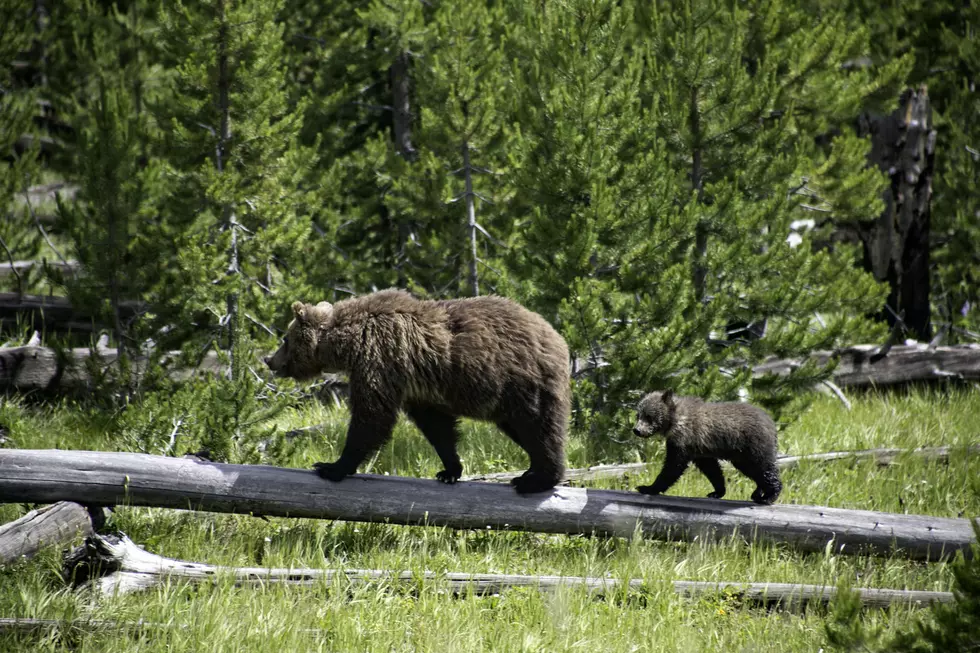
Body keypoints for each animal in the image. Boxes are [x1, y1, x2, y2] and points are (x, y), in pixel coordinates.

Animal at [264, 288, 572, 492]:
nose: (269, 360)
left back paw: (538, 479)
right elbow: (437, 426)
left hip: (522, 382)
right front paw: (450, 469)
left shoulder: (379, 359)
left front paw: (331, 466)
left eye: (285, 338)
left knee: (537, 427)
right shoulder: (417, 387)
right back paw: (530, 472)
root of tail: (558, 338)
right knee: (521, 429)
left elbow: (371, 417)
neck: (348, 343)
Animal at [632, 388, 784, 504]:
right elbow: (711, 469)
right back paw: (757, 493)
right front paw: (717, 491)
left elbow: (673, 466)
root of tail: (772, 423)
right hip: (741, 456)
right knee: (754, 471)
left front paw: (647, 487)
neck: (675, 421)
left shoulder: (684, 439)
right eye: (638, 415)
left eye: (649, 416)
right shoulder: (700, 448)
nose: (637, 430)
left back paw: (769, 496)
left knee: (764, 468)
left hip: (754, 446)